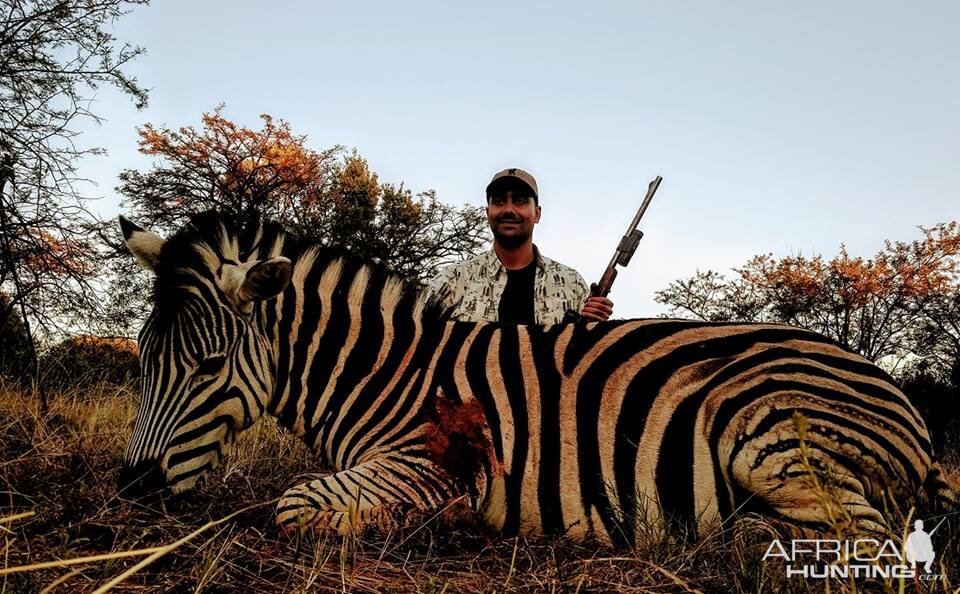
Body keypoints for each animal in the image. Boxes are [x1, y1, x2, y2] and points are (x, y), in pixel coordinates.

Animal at [118, 213, 952, 544]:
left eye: (209, 366)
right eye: (144, 356)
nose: (131, 490)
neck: (388, 375)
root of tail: (900, 400)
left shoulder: (424, 467)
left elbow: (292, 505)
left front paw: (446, 525)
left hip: (765, 434)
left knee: (865, 538)